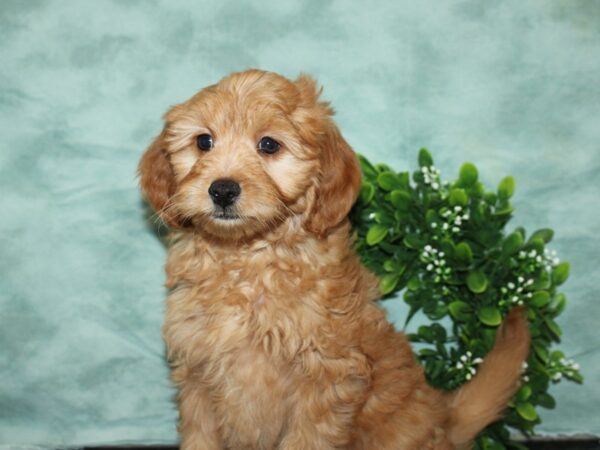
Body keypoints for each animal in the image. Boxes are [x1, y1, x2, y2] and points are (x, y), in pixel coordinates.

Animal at [137, 70, 528, 450]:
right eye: (203, 142)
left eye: (269, 145)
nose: (222, 189)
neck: (246, 260)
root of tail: (445, 418)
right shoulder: (197, 375)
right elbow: (200, 437)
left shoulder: (326, 379)